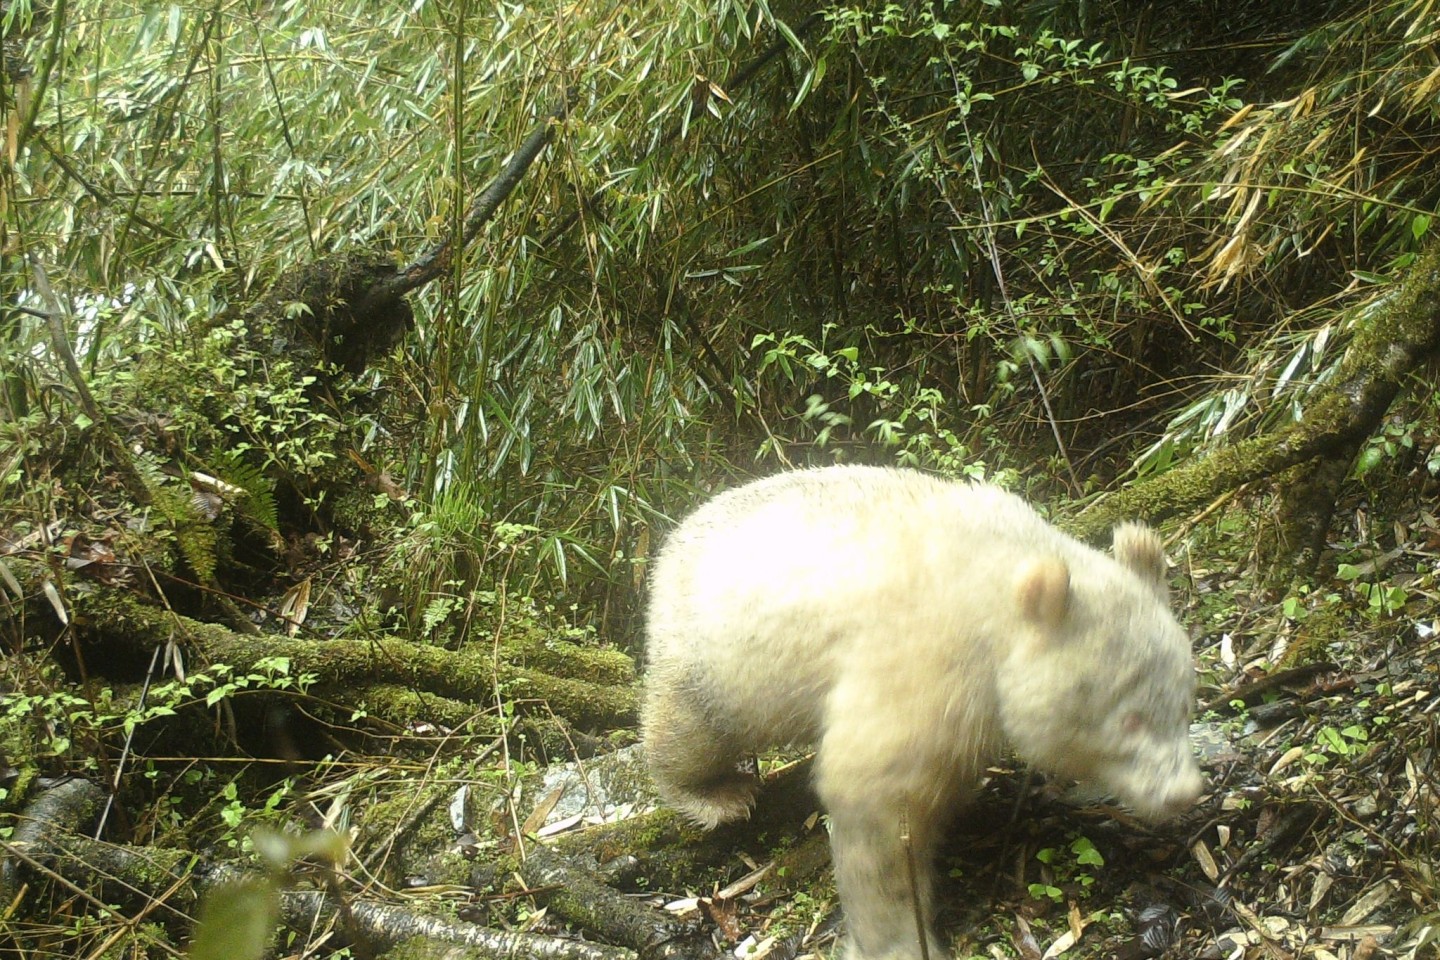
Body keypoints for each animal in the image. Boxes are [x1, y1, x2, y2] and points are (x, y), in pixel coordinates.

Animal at [642, 466, 1203, 960]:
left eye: (1185, 703)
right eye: (1130, 718)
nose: (1183, 792)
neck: (999, 582)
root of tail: (674, 539)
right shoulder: (927, 656)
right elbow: (874, 793)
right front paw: (898, 939)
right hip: (712, 653)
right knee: (689, 727)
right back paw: (715, 794)